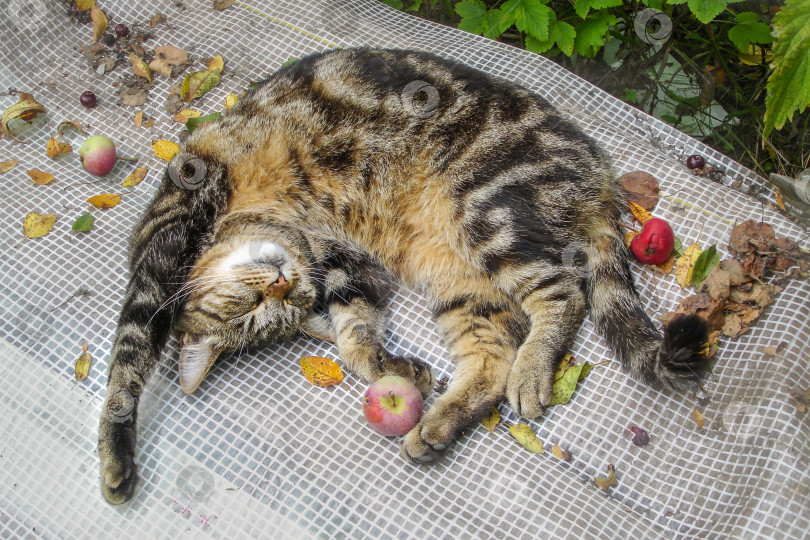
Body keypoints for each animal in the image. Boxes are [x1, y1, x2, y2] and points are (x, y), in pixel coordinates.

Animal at [99, 45, 708, 502]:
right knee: (491, 357)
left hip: (486, 207)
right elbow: (355, 333)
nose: (282, 284)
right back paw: (436, 426)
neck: (272, 222)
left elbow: (126, 366)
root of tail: (601, 173)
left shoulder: (163, 255)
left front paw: (116, 456)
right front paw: (389, 365)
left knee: (563, 293)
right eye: (261, 311)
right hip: (456, 277)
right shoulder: (348, 262)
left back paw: (532, 373)